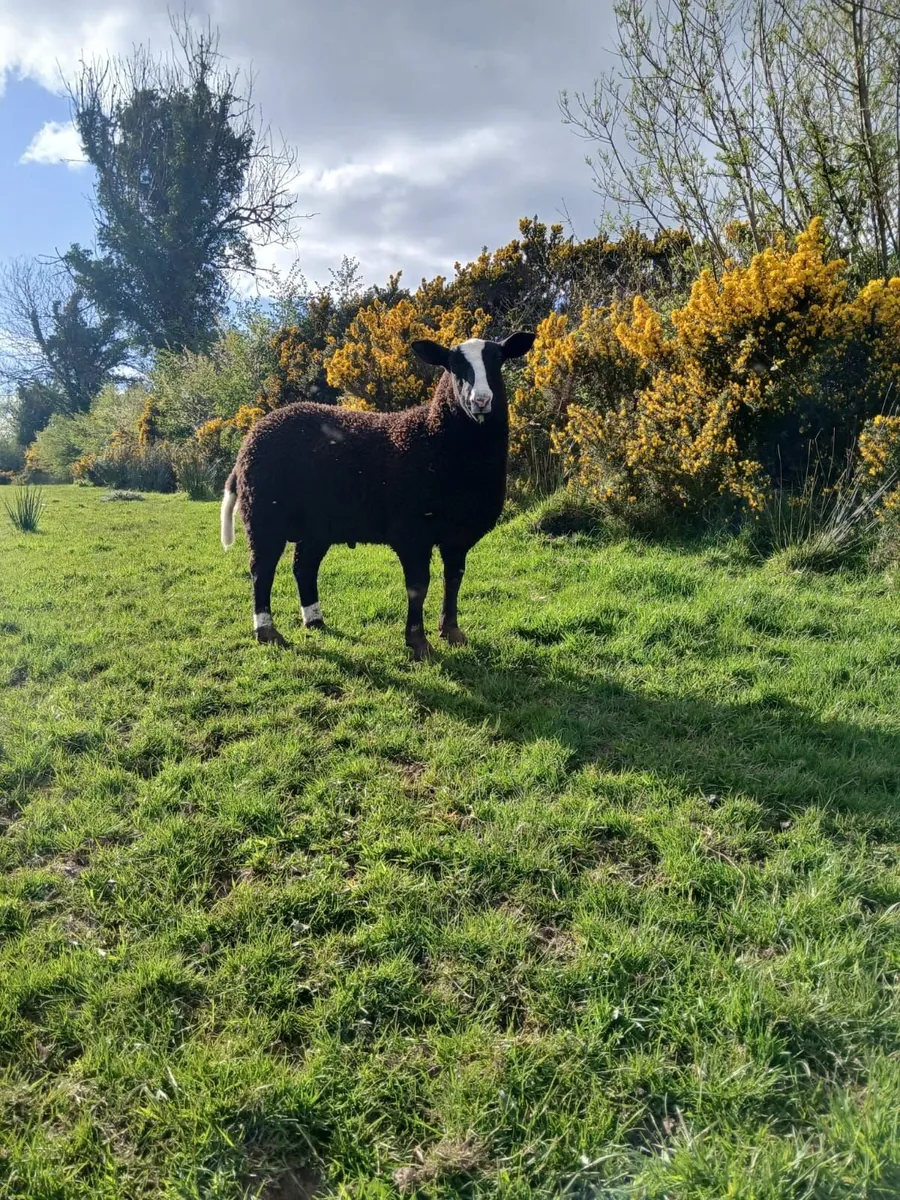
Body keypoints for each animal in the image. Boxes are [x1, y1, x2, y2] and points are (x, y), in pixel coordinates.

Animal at [220, 330, 536, 659]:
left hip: (317, 525)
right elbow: (418, 586)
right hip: (263, 514)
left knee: (303, 567)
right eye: (452, 365)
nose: (481, 400)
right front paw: (418, 643)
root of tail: (250, 439)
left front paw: (451, 632)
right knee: (261, 570)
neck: (436, 437)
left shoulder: (458, 534)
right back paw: (267, 631)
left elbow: (454, 579)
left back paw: (315, 620)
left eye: (498, 359)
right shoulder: (411, 532)